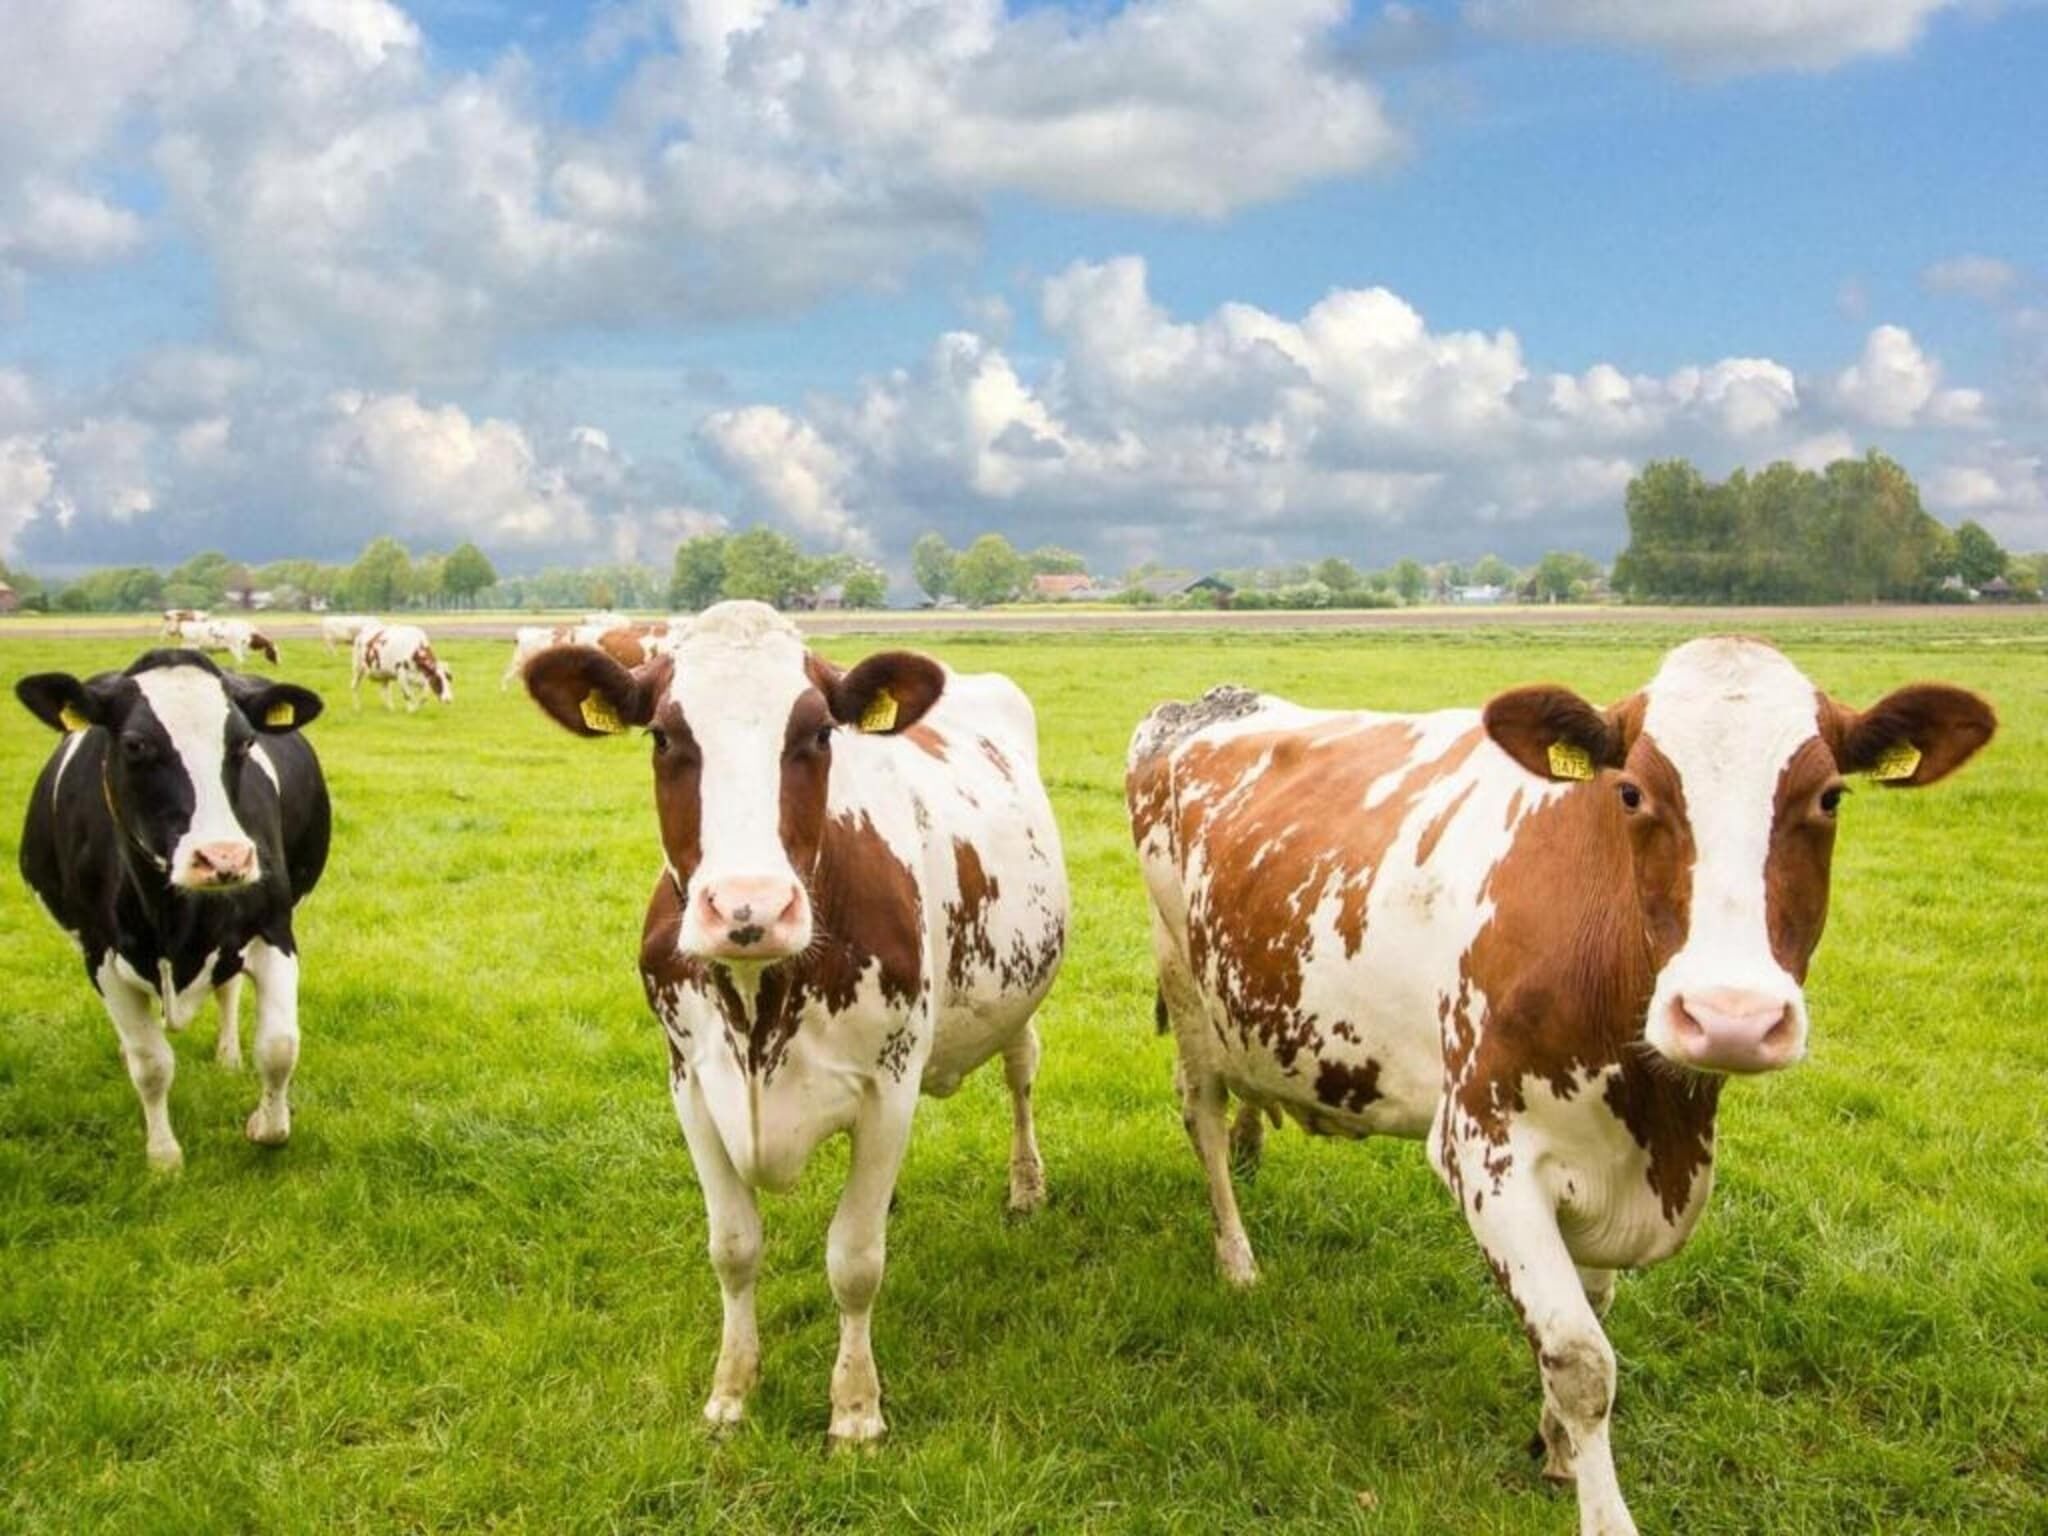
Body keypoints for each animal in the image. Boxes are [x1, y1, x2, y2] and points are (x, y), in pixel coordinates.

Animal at [15, 650, 330, 1169]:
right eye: (135, 744)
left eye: (244, 742)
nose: (223, 858)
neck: (175, 918)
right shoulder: (100, 955)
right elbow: (151, 1064)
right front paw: (163, 1158)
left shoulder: (273, 930)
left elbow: (279, 1046)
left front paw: (266, 1126)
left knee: (228, 991)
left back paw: (227, 1055)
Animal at [522, 600, 1067, 1443]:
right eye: (664, 736)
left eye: (817, 735)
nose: (748, 907)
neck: (758, 1007)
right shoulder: (690, 1084)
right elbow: (734, 1247)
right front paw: (730, 1393)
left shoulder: (889, 1088)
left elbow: (854, 1259)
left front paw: (855, 1409)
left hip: (1017, 998)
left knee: (1020, 1074)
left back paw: (1026, 1185)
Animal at [1126, 638, 1994, 1536]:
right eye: (1632, 792)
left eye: (1829, 796)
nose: (1731, 1017)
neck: (1656, 1123)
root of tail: (1213, 699)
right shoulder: (1484, 1151)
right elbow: (1582, 1358)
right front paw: (1601, 1507)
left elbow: (1587, 1314)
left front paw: (1555, 1447)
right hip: (1184, 988)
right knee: (1205, 1121)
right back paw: (1237, 1259)